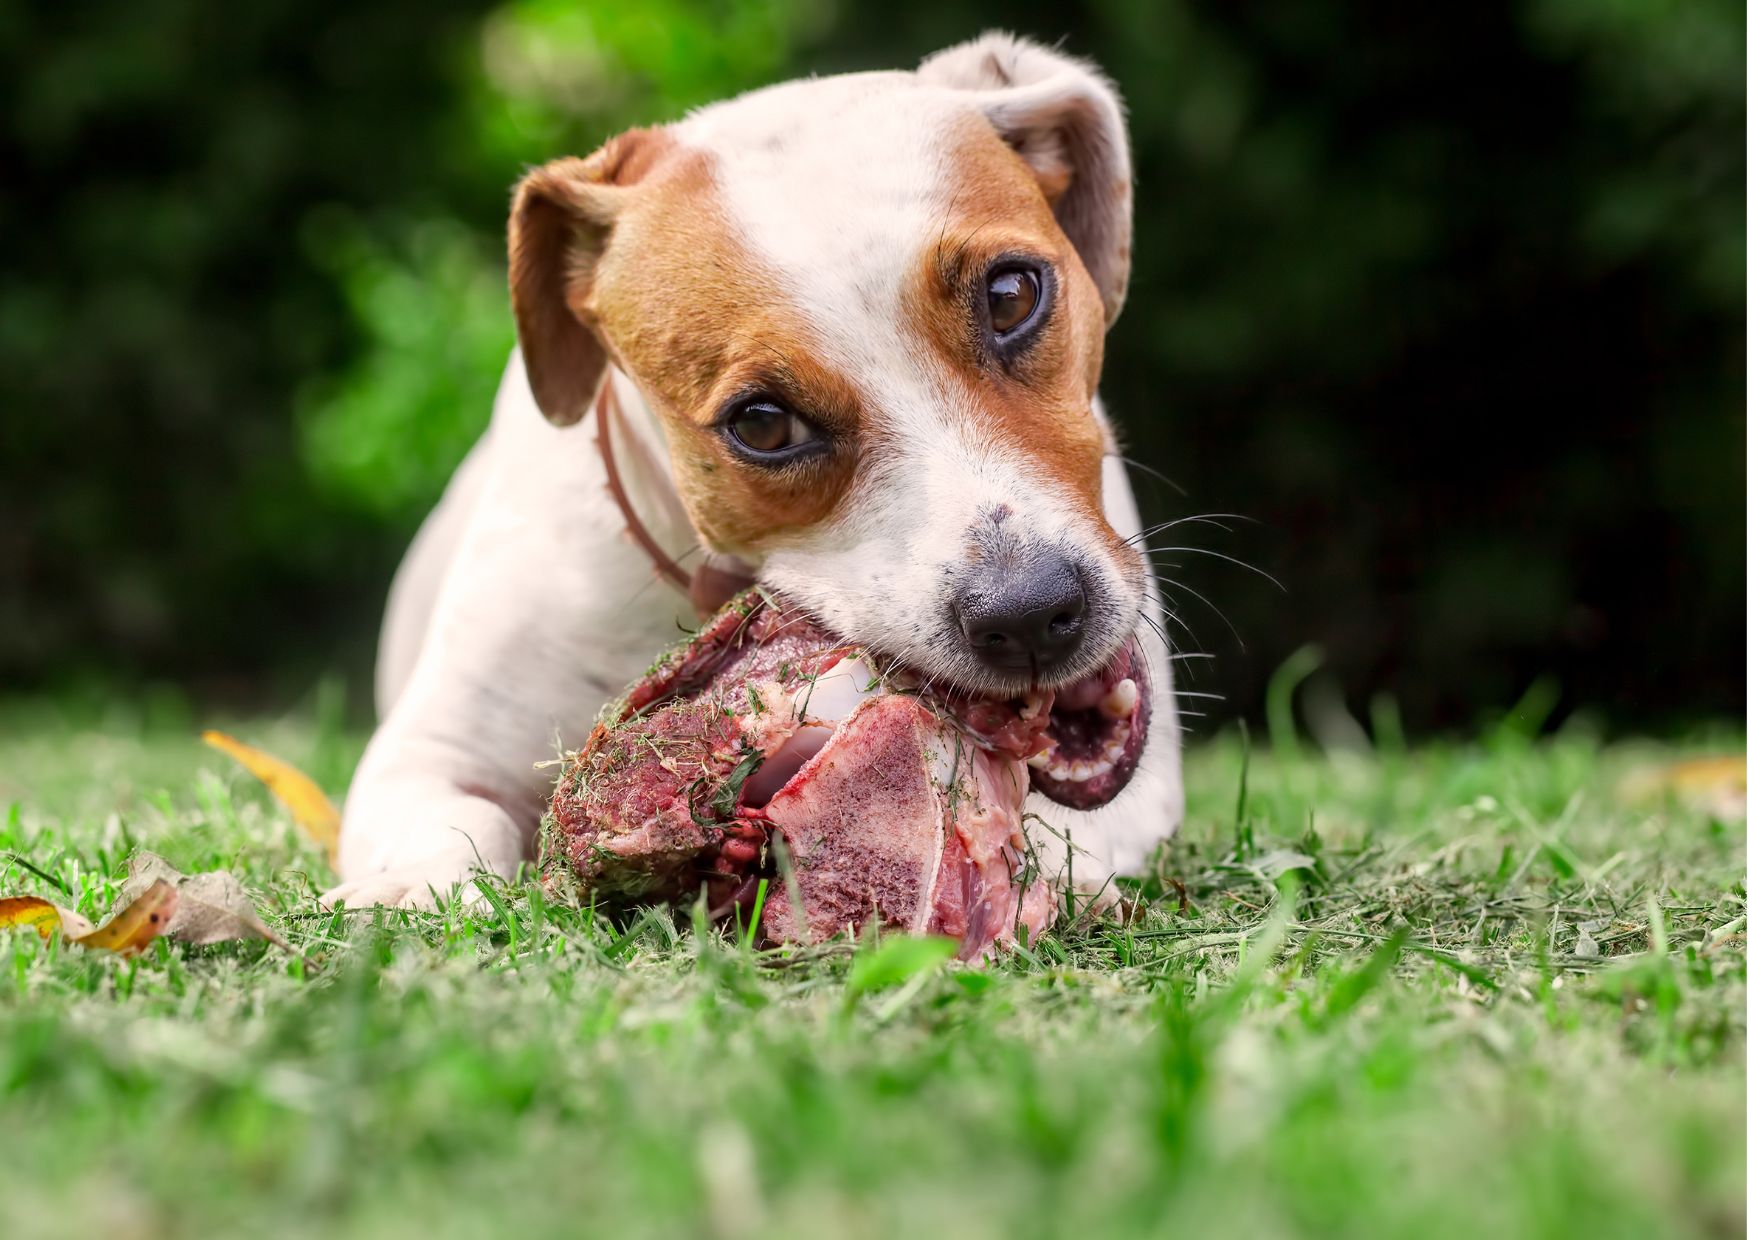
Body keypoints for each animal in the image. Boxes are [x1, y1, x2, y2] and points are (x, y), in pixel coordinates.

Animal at [319, 31, 1181, 909]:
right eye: (762, 423)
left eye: (1011, 294)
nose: (1031, 613)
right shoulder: (431, 752)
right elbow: (459, 826)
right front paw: (410, 889)